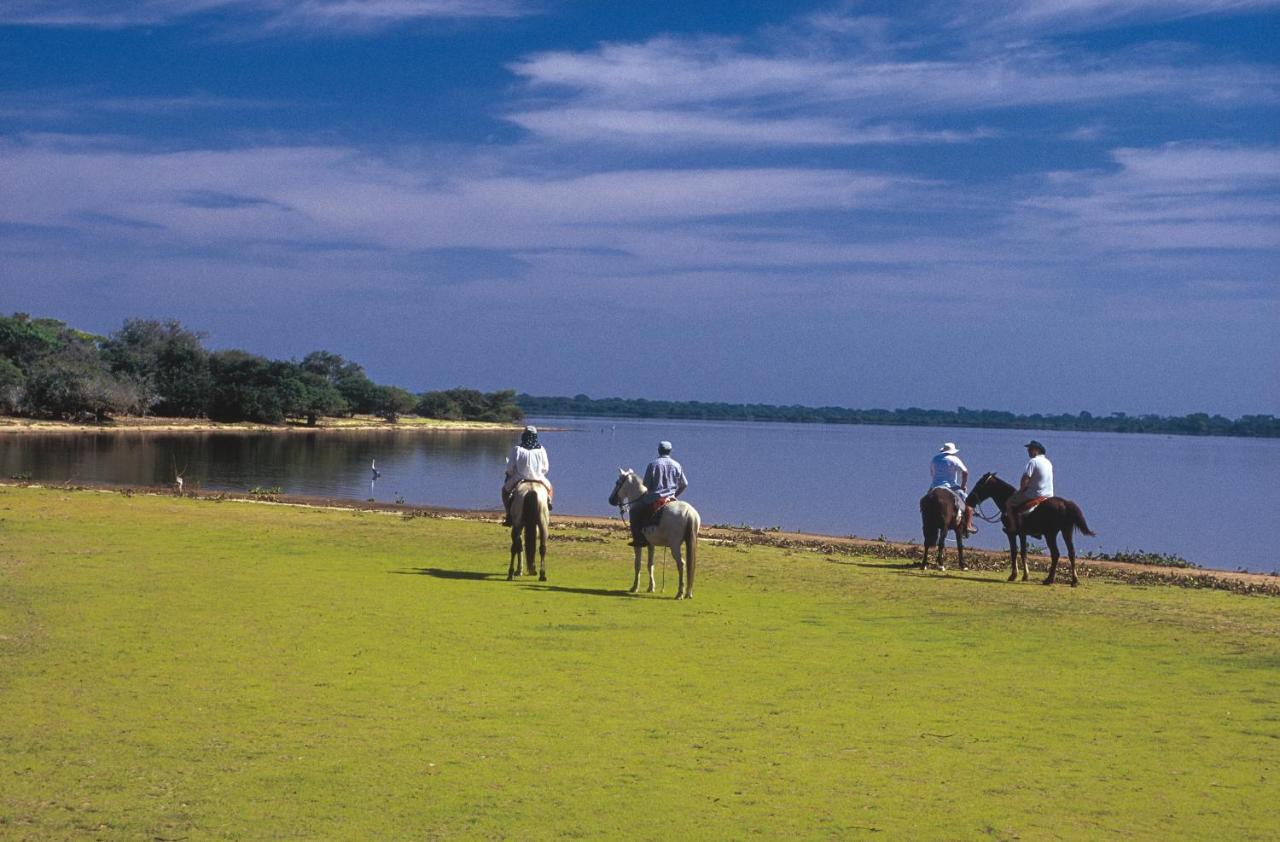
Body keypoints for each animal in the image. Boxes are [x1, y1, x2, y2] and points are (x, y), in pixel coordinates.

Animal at [606, 465, 701, 596]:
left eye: (617, 482)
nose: (611, 500)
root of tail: (689, 512)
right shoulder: (651, 544)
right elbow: (650, 564)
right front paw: (651, 587)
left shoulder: (638, 543)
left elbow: (637, 564)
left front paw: (634, 587)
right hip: (690, 541)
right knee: (690, 565)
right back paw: (688, 593)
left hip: (675, 545)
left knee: (681, 564)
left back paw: (680, 593)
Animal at [962, 470, 1095, 583]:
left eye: (979, 484)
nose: (968, 500)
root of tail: (1065, 503)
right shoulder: (1023, 534)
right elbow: (1024, 553)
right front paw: (1025, 576)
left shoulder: (1013, 533)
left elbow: (1015, 552)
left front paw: (1014, 575)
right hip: (1066, 531)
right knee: (1071, 553)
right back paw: (1074, 580)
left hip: (1050, 534)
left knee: (1056, 554)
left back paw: (1049, 579)